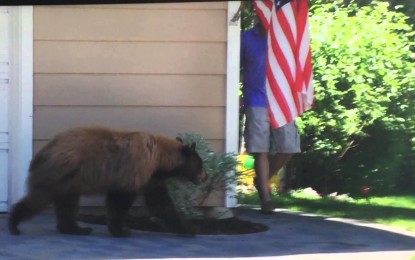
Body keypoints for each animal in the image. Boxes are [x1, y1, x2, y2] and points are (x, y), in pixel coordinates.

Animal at [8, 126, 206, 238]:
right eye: (201, 164)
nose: (205, 176)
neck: (159, 157)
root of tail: (43, 151)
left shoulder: (151, 177)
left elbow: (161, 203)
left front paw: (188, 228)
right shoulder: (135, 170)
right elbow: (120, 200)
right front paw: (121, 230)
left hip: (69, 180)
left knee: (67, 203)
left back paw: (76, 228)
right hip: (58, 173)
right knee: (40, 197)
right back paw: (14, 223)